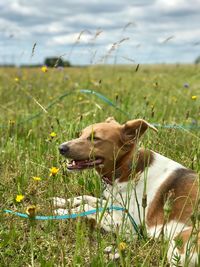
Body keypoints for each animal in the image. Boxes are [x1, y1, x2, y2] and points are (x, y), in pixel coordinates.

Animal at [53, 118, 200, 266]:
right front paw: (61, 202)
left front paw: (63, 212)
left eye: (95, 138)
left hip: (178, 244)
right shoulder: (115, 204)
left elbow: (86, 208)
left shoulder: (129, 225)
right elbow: (85, 198)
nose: (61, 148)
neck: (127, 168)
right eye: (80, 134)